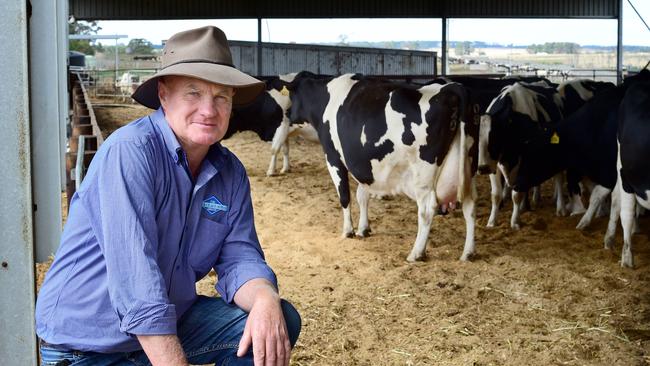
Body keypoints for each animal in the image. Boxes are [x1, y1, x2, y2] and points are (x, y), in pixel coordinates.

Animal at [286, 74, 478, 262]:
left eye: (292, 96)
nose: (287, 113)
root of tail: (452, 88)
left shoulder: (333, 157)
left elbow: (345, 197)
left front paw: (348, 231)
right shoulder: (363, 164)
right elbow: (362, 195)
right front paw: (363, 229)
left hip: (424, 176)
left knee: (426, 210)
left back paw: (416, 253)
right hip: (468, 170)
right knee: (470, 206)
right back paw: (467, 253)